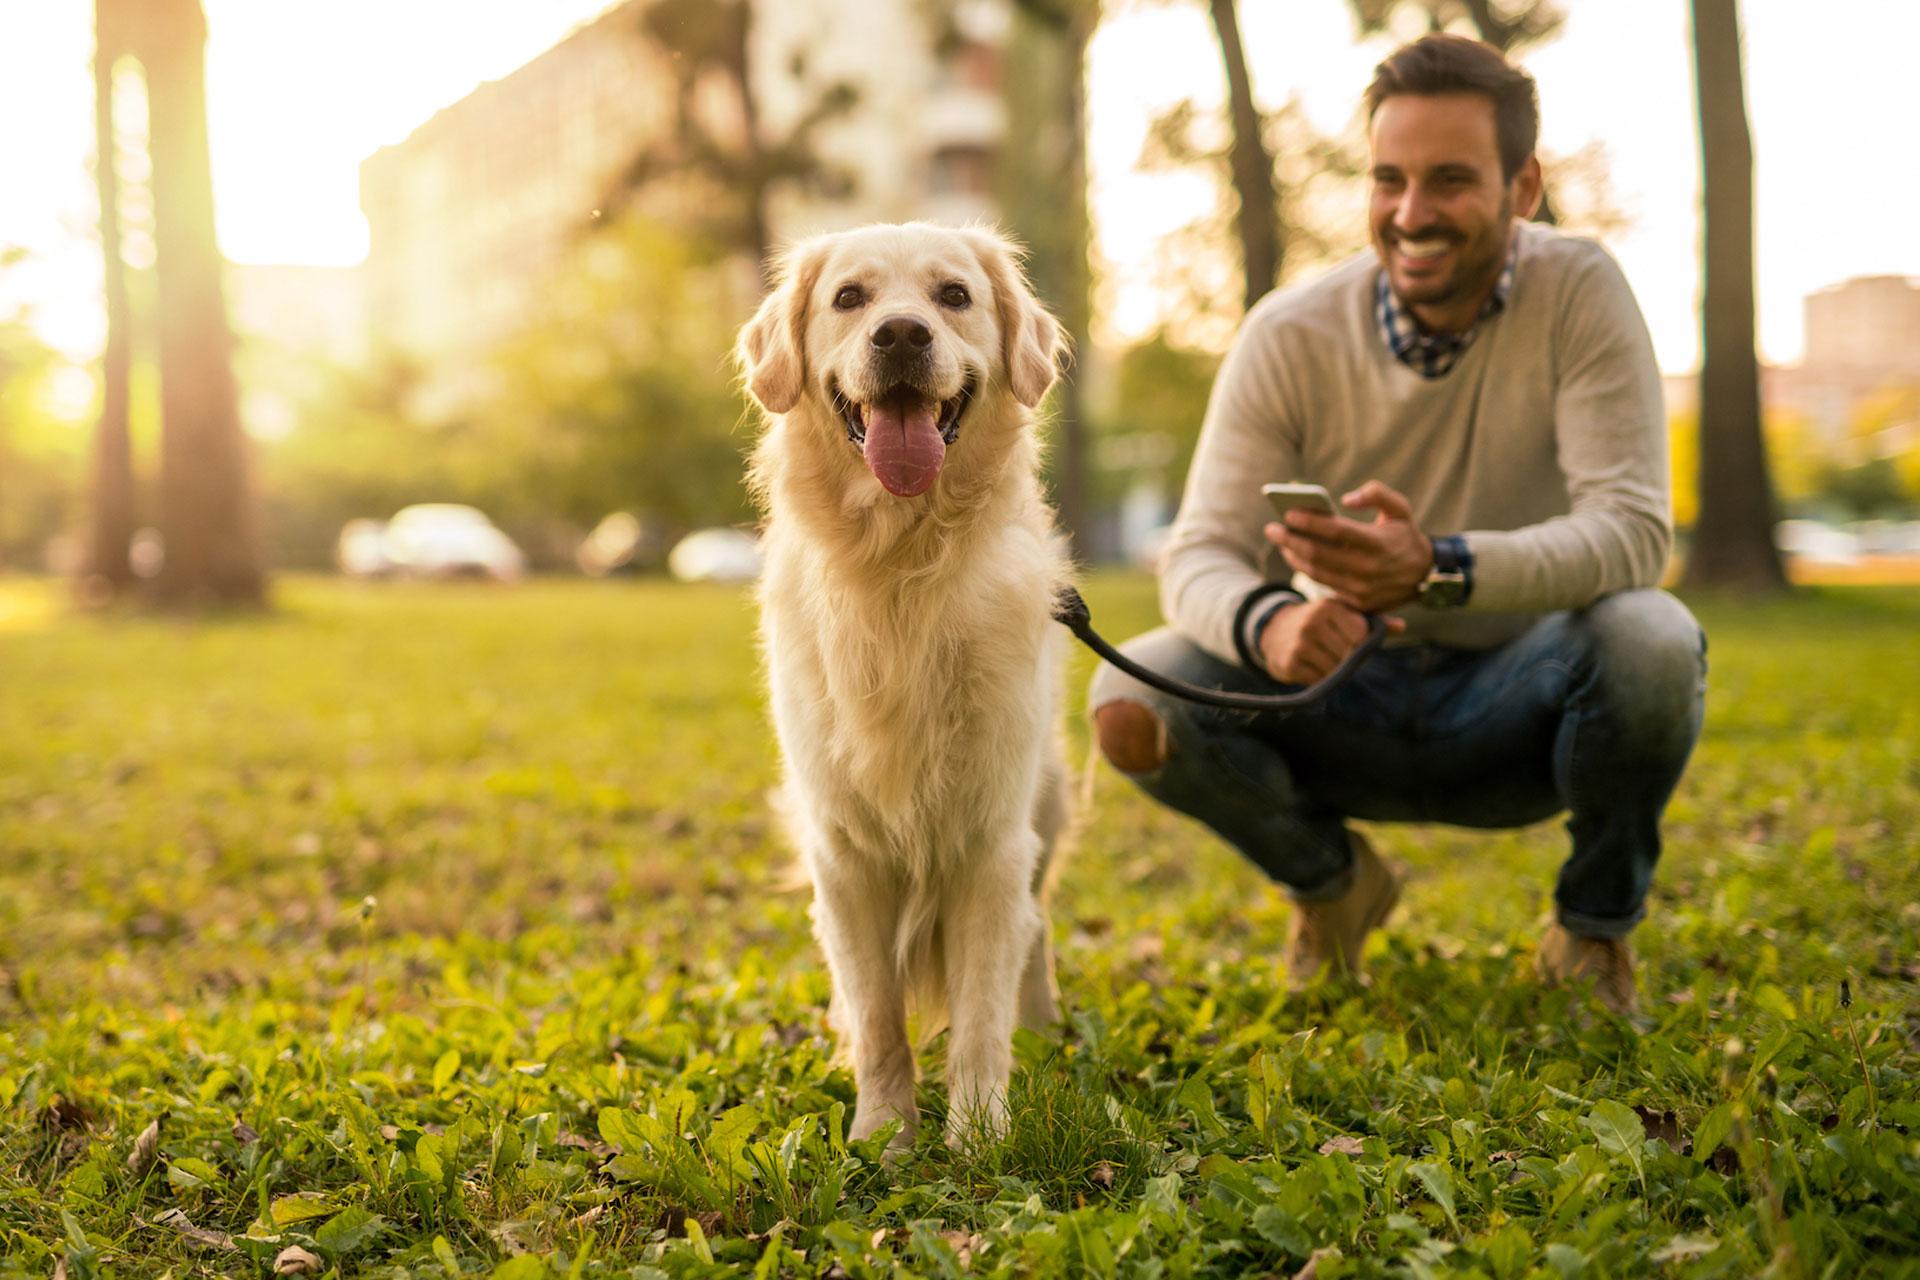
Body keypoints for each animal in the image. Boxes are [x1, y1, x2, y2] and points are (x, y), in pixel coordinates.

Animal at [737, 222, 1075, 1151]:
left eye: (953, 295)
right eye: (849, 298)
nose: (899, 336)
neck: (899, 567)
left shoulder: (991, 839)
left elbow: (982, 1014)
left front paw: (979, 1136)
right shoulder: (843, 852)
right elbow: (880, 1016)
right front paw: (883, 1135)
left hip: (1046, 805)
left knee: (1035, 932)